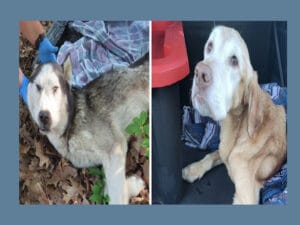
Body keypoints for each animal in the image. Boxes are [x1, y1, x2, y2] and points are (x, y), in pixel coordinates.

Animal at [27, 58, 149, 204]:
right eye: (38, 87)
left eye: (55, 88)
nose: (44, 116)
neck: (70, 126)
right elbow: (110, 189)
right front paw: (133, 184)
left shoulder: (115, 148)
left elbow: (116, 195)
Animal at [182, 25, 288, 204]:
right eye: (209, 46)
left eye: (234, 61)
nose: (200, 73)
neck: (237, 127)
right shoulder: (223, 150)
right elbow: (210, 156)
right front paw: (193, 169)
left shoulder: (245, 196)